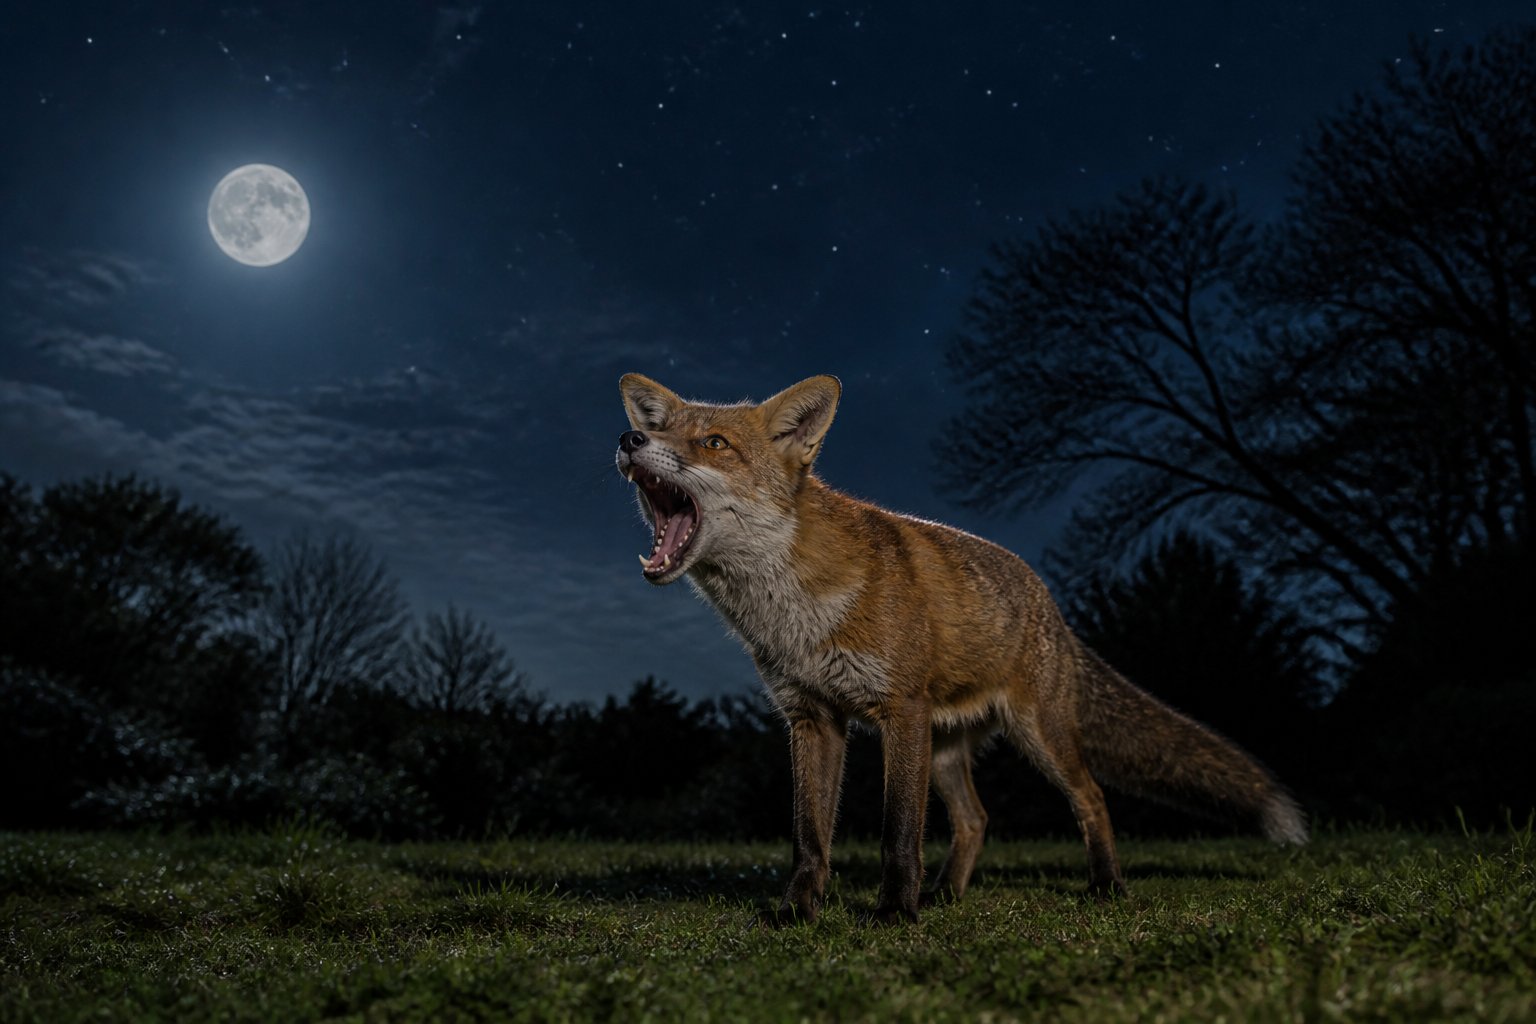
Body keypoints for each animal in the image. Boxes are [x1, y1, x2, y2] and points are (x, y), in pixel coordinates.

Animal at [614, 372, 1306, 924]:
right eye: (662, 427)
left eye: (714, 443)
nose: (628, 440)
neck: (791, 613)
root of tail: (1050, 603)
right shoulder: (812, 717)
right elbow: (809, 838)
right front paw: (797, 913)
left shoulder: (899, 709)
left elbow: (898, 833)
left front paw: (894, 914)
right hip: (945, 749)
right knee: (975, 820)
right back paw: (948, 894)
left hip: (1035, 736)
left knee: (1092, 798)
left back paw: (1105, 885)